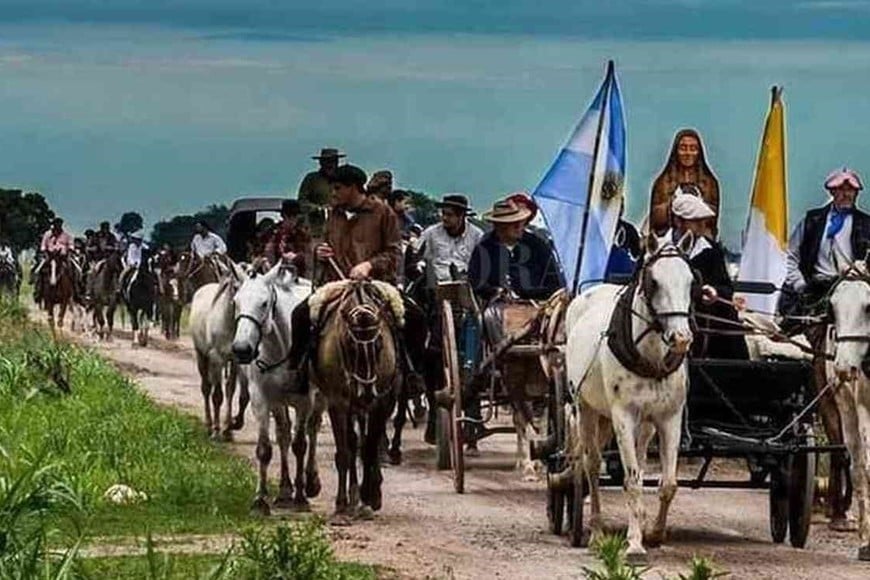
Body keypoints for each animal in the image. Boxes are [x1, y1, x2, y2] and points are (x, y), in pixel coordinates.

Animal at [189, 262, 247, 440]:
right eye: (235, 287)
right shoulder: (216, 358)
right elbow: (217, 396)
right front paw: (216, 430)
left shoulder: (235, 361)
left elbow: (230, 391)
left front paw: (228, 430)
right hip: (201, 356)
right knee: (206, 389)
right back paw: (209, 426)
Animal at [232, 262, 328, 512]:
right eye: (236, 301)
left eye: (264, 303)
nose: (242, 349)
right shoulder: (262, 399)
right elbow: (265, 448)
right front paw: (260, 499)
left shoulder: (305, 401)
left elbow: (300, 444)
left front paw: (301, 497)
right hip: (279, 402)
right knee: (283, 433)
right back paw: (284, 490)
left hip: (320, 398)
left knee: (312, 429)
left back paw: (311, 482)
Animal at [310, 278, 406, 520]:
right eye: (350, 345)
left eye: (379, 344)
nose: (367, 392)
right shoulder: (337, 402)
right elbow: (345, 451)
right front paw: (342, 504)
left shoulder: (383, 402)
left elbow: (370, 449)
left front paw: (369, 496)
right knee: (353, 443)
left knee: (366, 442)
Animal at [564, 233, 700, 564]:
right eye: (653, 281)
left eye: (691, 281)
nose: (681, 339)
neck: (650, 358)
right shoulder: (622, 415)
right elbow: (633, 481)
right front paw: (635, 544)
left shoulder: (669, 417)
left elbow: (667, 483)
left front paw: (653, 533)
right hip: (586, 408)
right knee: (590, 464)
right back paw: (597, 533)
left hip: (643, 424)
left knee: (637, 455)